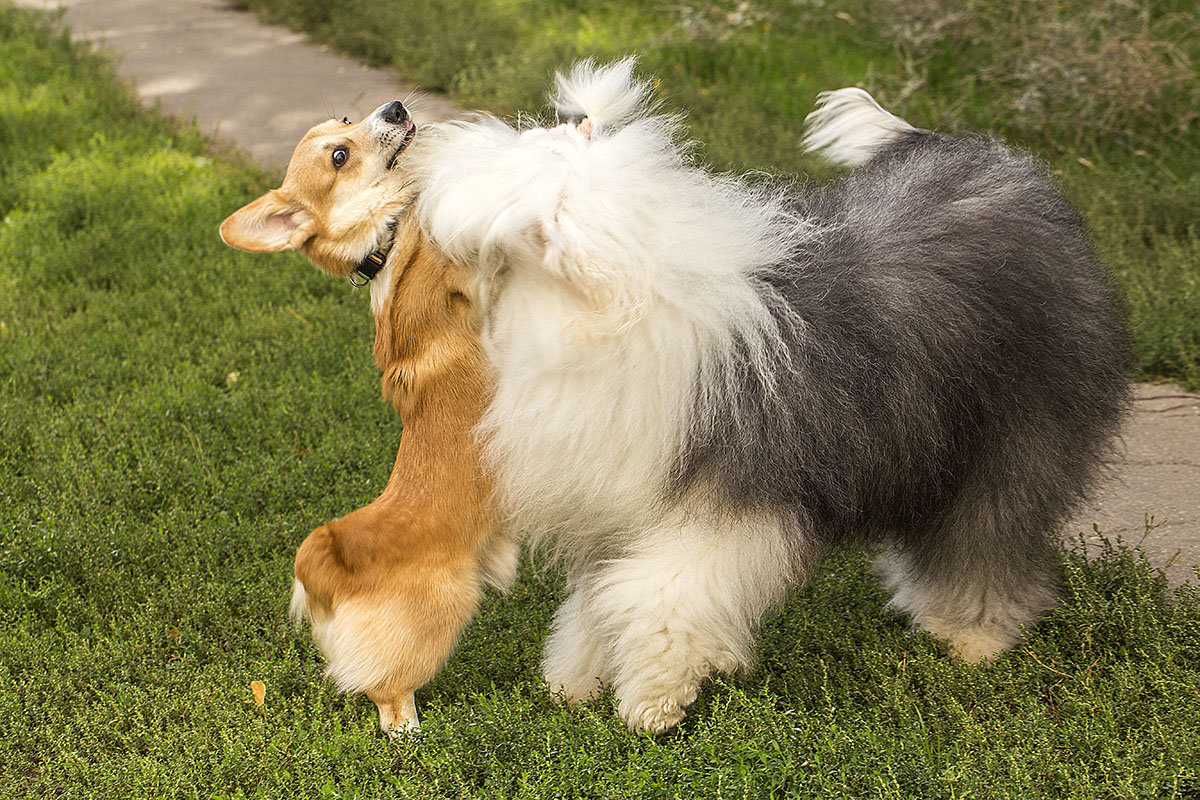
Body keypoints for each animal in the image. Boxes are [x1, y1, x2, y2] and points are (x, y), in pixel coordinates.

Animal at [220, 103, 516, 734]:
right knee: (386, 690)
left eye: (345, 120)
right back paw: (409, 732)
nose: (395, 108)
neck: (386, 241)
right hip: (441, 616)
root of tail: (329, 566)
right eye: (339, 156)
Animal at [396, 61, 1132, 734]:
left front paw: (651, 705)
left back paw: (972, 637)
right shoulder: (621, 503)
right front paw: (573, 684)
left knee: (988, 537)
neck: (596, 308)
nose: (414, 142)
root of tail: (1006, 165)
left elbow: (665, 596)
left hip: (1017, 432)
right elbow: (597, 599)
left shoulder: (733, 501)